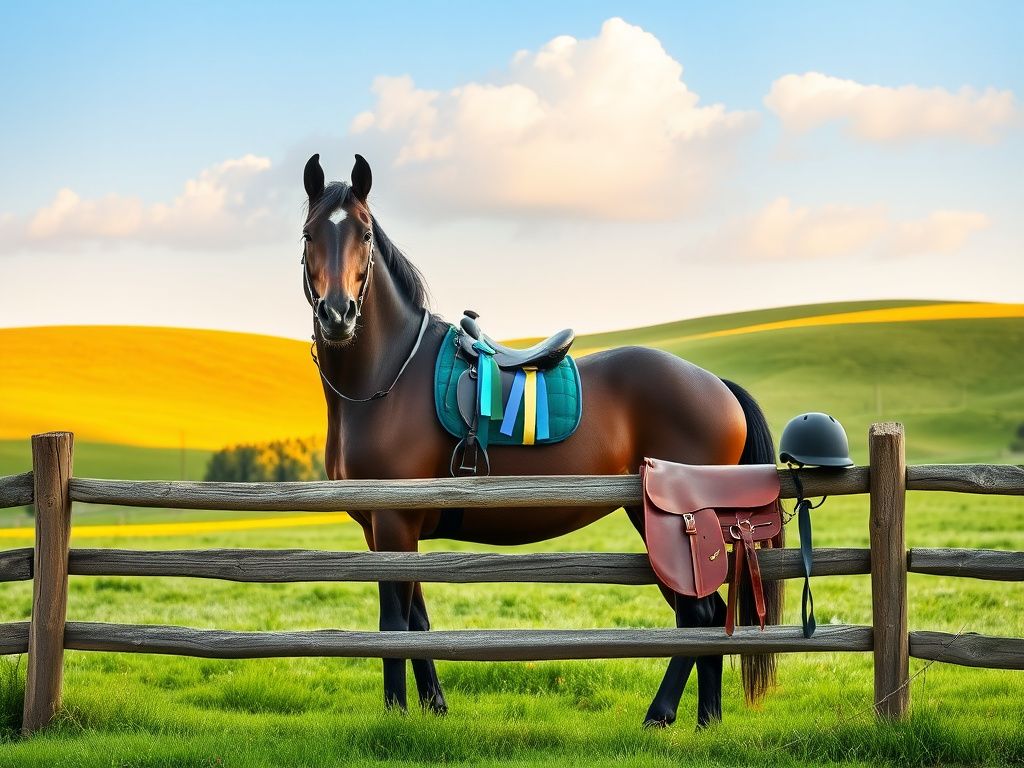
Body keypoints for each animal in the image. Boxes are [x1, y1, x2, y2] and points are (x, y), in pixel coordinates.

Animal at [300, 153, 783, 729]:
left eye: (366, 234)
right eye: (309, 234)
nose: (338, 314)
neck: (388, 377)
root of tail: (716, 386)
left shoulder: (395, 521)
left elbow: (393, 625)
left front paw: (396, 714)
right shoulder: (382, 528)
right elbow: (417, 621)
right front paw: (433, 705)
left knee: (698, 614)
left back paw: (662, 714)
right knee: (705, 617)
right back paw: (705, 719)